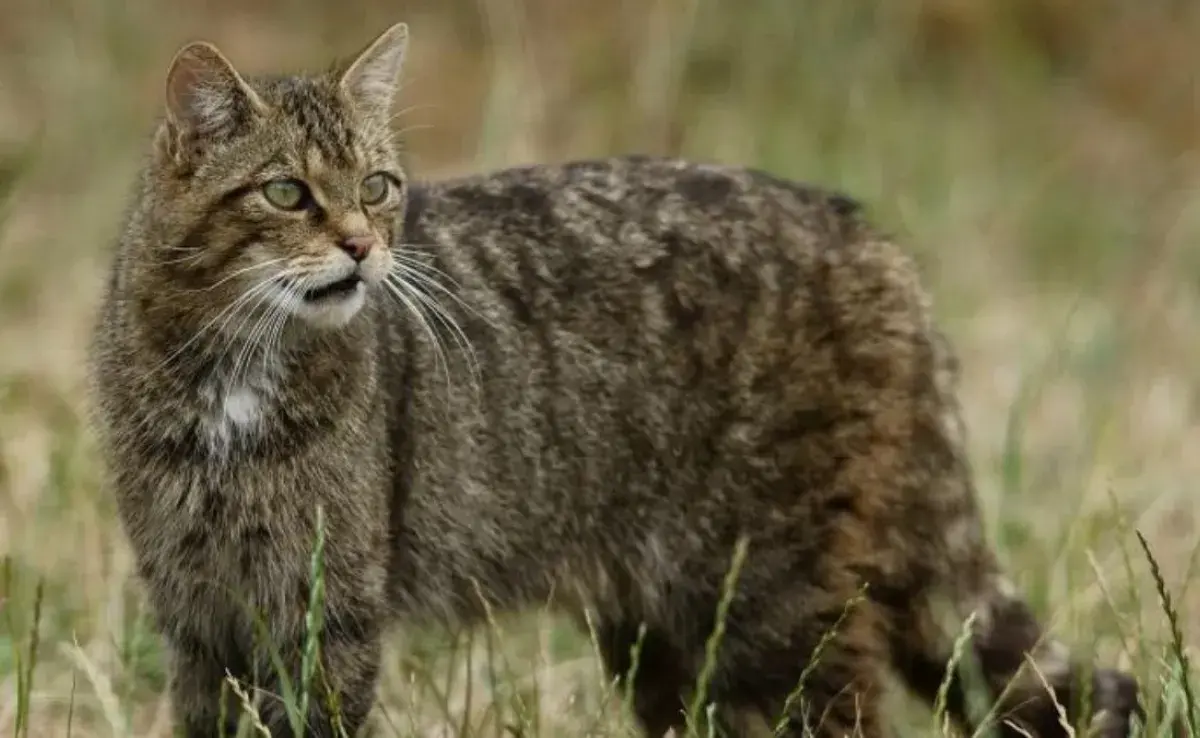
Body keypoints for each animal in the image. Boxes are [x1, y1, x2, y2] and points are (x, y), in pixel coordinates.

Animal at [88, 20, 1137, 738]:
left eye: (378, 187)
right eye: (286, 192)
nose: (361, 245)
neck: (231, 376)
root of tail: (868, 234)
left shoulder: (324, 610)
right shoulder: (198, 613)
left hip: (774, 599)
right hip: (673, 636)